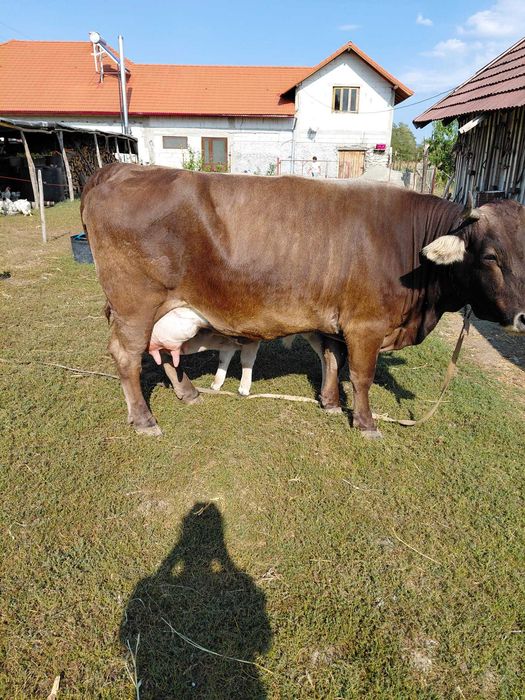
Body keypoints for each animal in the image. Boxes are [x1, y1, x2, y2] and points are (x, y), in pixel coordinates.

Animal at [81, 163, 525, 438]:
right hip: (135, 306)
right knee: (127, 355)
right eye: (490, 256)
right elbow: (360, 375)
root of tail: (121, 169)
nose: (523, 317)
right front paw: (366, 423)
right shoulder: (365, 324)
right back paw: (144, 419)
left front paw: (330, 403)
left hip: (166, 311)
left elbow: (331, 359)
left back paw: (187, 392)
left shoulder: (334, 319)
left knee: (162, 351)